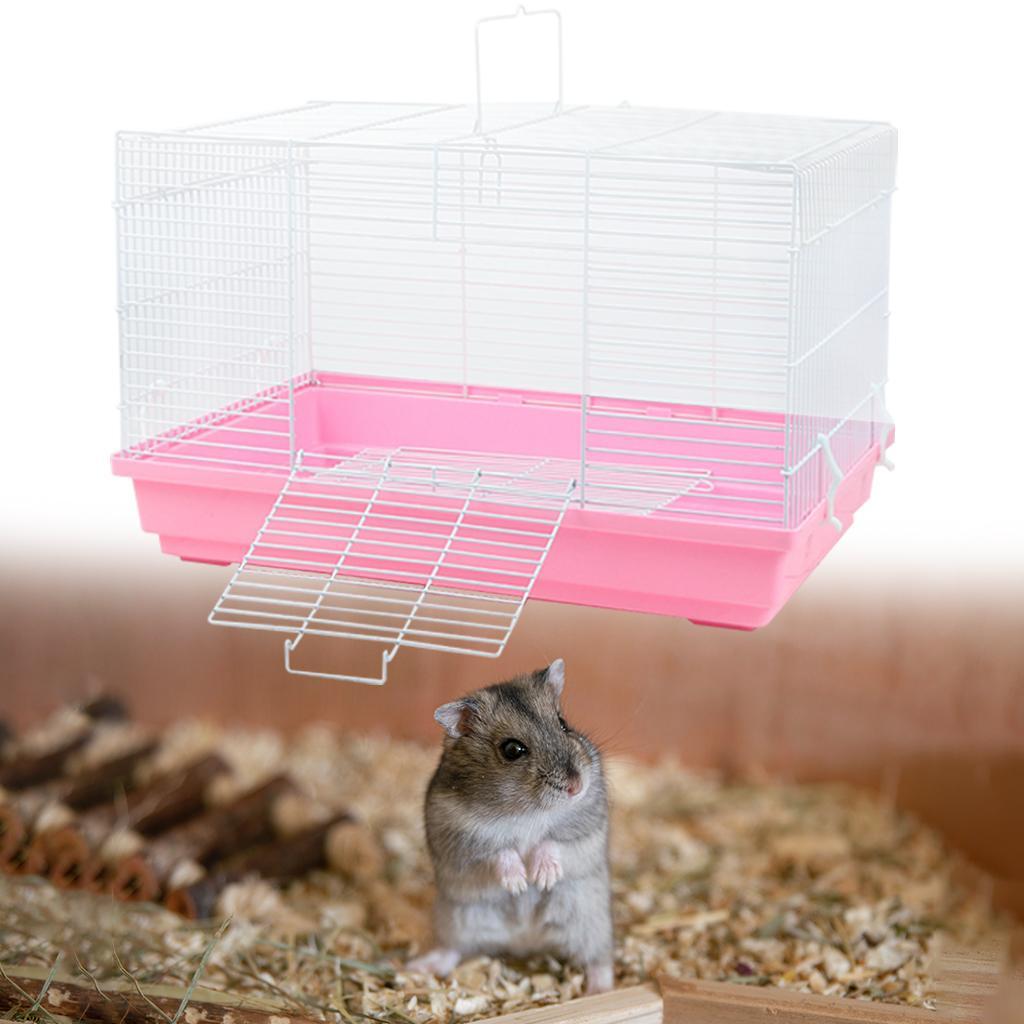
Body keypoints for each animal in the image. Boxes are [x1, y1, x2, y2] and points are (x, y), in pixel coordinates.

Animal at [407, 659, 614, 994]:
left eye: (563, 723)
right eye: (512, 750)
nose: (576, 786)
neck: (527, 810)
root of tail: (525, 941)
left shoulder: (587, 826)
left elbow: (553, 842)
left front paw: (541, 878)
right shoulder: (461, 839)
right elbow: (498, 852)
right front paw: (518, 883)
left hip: (590, 920)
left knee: (599, 959)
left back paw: (600, 990)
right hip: (457, 920)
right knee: (452, 949)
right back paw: (417, 967)